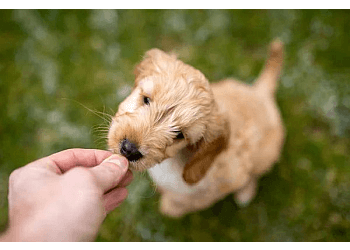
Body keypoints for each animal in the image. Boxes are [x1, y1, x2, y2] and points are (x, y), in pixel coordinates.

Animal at [108, 40, 286, 218]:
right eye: (146, 100)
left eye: (179, 135)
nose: (129, 149)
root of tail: (260, 92)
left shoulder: (220, 184)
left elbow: (182, 203)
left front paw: (168, 207)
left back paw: (245, 193)